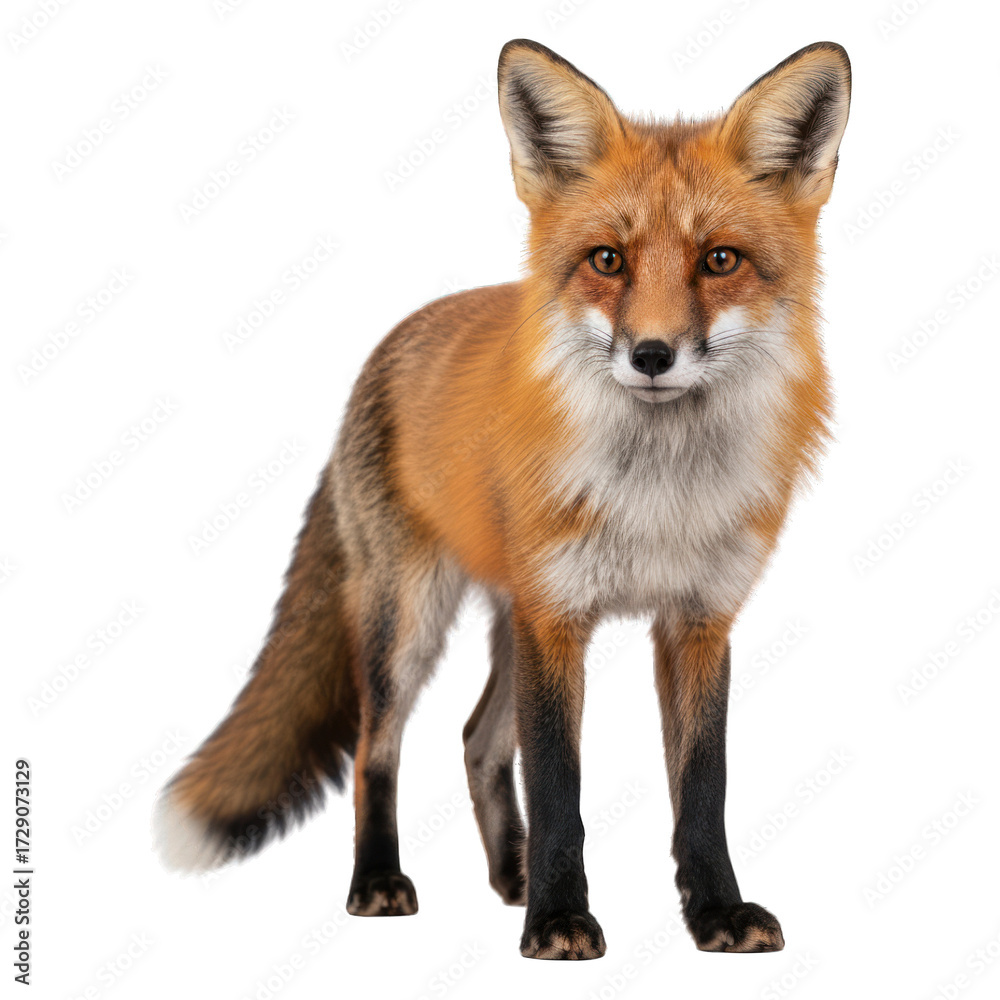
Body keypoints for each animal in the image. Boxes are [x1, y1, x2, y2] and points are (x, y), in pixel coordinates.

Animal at [155, 39, 851, 960]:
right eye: (607, 260)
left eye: (720, 260)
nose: (652, 354)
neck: (656, 493)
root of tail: (389, 344)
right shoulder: (555, 618)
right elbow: (560, 787)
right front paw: (559, 920)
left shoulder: (698, 620)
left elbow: (703, 790)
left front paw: (713, 913)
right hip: (409, 619)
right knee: (377, 751)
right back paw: (380, 882)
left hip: (505, 620)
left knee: (477, 741)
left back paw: (509, 877)